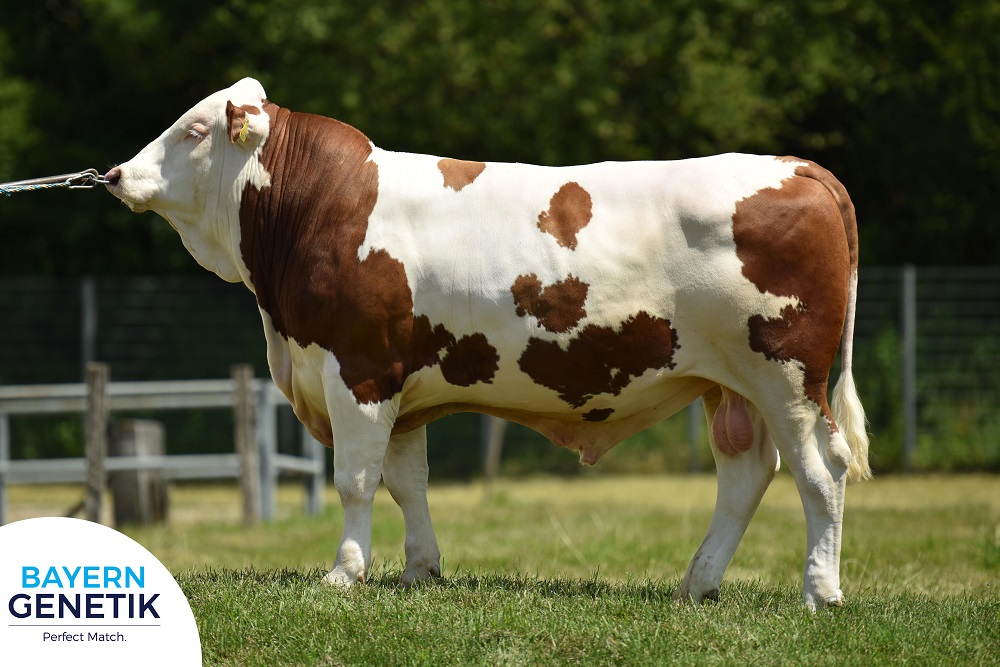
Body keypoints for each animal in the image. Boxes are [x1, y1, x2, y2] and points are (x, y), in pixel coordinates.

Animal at [107, 78, 868, 612]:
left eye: (194, 128)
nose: (114, 174)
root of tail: (796, 166)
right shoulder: (399, 380)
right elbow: (405, 481)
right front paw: (419, 569)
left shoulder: (358, 368)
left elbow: (355, 479)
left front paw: (345, 572)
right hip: (728, 383)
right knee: (747, 472)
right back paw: (697, 584)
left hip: (788, 377)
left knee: (820, 469)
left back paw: (820, 592)